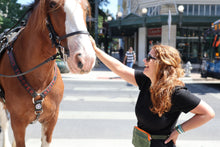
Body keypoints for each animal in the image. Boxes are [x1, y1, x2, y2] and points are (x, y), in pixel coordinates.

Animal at [0, 0, 96, 147]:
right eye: (52, 4)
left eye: (85, 7)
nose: (86, 59)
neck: (39, 79)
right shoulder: (18, 123)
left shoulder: (51, 120)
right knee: (4, 124)